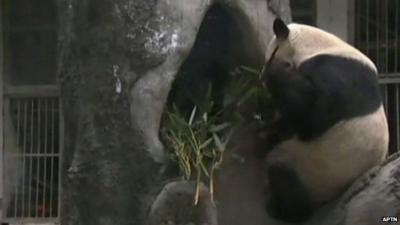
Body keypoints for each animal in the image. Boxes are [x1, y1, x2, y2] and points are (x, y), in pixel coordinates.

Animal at [260, 18, 390, 222]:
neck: (315, 47)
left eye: (271, 54)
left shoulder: (336, 71)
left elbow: (312, 117)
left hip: (315, 169)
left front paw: (273, 72)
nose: (260, 75)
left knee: (283, 173)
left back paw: (281, 209)